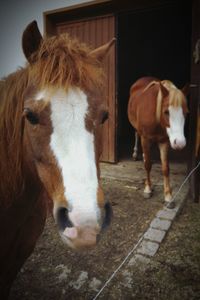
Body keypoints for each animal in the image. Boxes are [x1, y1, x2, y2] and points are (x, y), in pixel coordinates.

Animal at [127, 76, 188, 205]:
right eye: (166, 112)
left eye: (186, 112)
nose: (180, 143)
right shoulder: (145, 138)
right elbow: (147, 165)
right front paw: (147, 189)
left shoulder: (164, 141)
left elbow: (165, 168)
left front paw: (168, 196)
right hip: (137, 128)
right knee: (136, 134)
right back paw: (135, 154)